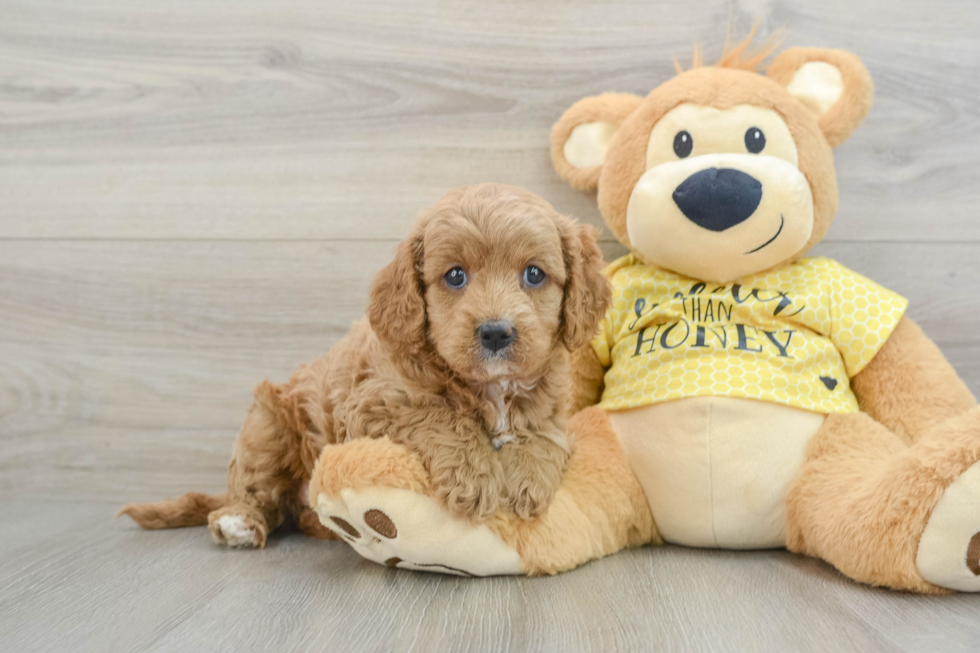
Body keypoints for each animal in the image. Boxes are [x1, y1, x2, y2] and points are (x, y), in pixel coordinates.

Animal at [118, 183, 608, 544]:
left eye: (534, 274)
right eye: (455, 276)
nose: (496, 332)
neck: (488, 387)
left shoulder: (552, 408)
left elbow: (545, 436)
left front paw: (528, 477)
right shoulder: (375, 403)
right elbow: (442, 418)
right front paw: (476, 476)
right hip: (266, 427)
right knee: (254, 492)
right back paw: (239, 521)